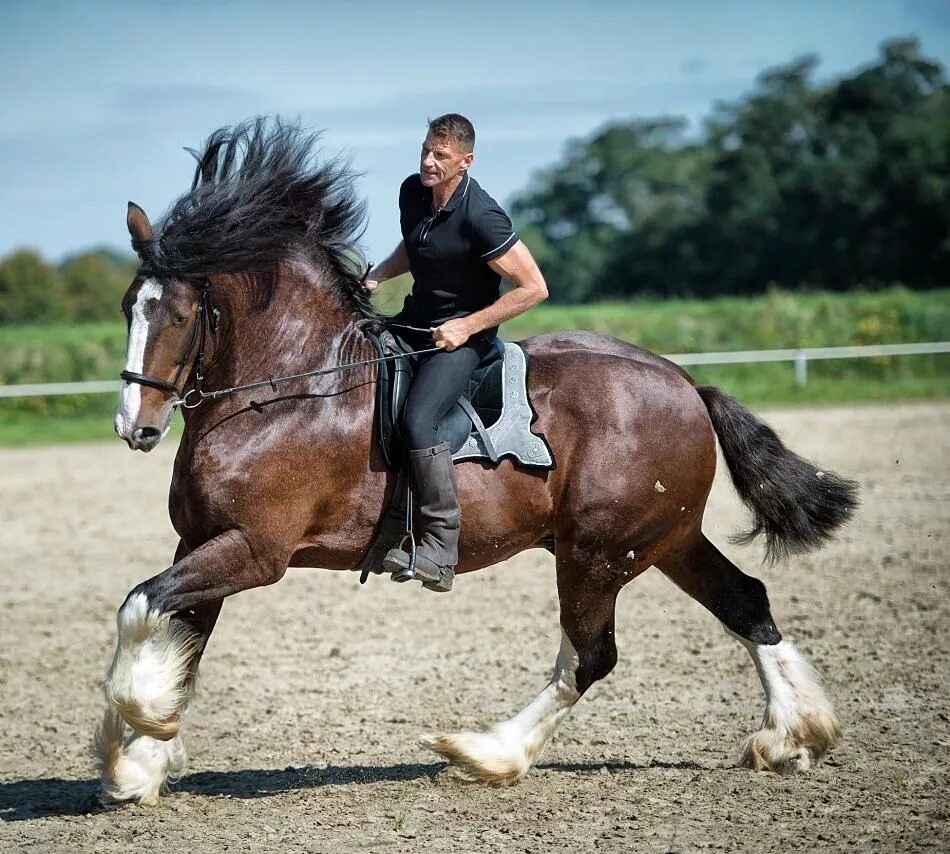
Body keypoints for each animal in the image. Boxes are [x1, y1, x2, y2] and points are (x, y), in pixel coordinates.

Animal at [96, 117, 864, 804]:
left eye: (180, 315)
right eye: (130, 305)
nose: (134, 426)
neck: (289, 388)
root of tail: (683, 383)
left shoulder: (254, 550)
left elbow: (140, 609)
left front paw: (136, 729)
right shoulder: (201, 541)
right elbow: (179, 637)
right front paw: (142, 762)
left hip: (598, 553)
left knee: (590, 656)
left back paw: (487, 752)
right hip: (662, 539)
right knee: (745, 602)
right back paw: (794, 735)